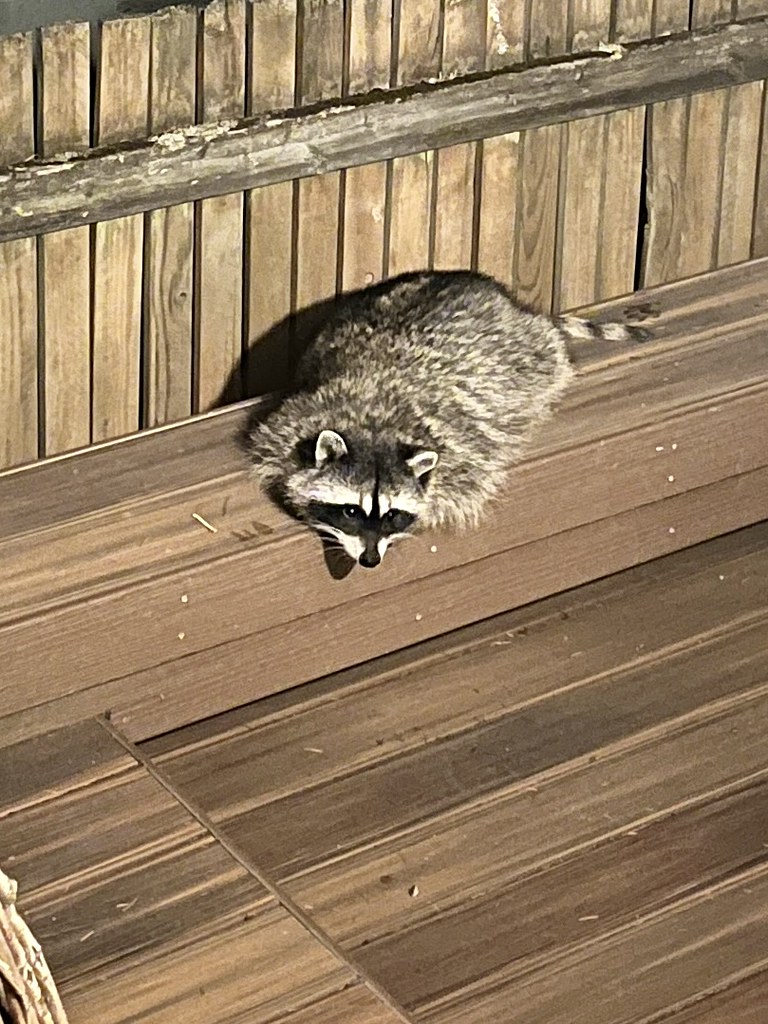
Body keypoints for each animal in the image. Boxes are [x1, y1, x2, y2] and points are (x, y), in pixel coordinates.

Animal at [246, 270, 647, 568]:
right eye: (350, 510)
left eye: (392, 515)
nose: (371, 560)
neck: (373, 425)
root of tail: (508, 302)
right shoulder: (294, 417)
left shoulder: (462, 451)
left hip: (531, 355)